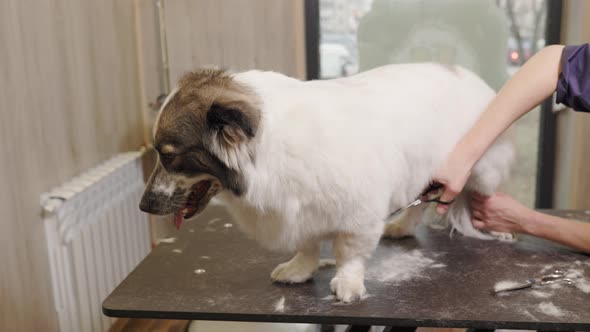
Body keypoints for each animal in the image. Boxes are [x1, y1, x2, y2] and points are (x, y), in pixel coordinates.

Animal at [141, 63, 516, 304]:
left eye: (169, 156)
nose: (144, 205)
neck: (269, 149)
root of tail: (471, 77)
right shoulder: (302, 210)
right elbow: (307, 245)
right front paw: (299, 269)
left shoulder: (358, 215)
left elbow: (348, 252)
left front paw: (348, 284)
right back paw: (402, 227)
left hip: (482, 171)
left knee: (484, 195)